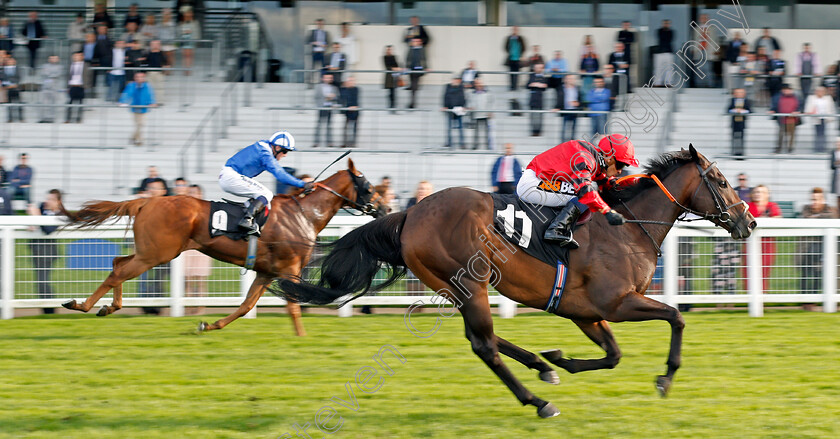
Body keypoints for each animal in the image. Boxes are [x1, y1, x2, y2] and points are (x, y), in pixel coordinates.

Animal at [60, 160, 384, 336]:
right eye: (369, 187)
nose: (385, 207)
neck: (304, 213)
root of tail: (146, 201)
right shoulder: (289, 269)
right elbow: (293, 307)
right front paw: (302, 338)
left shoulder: (267, 272)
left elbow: (245, 306)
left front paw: (209, 325)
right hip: (156, 254)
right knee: (119, 272)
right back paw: (82, 305)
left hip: (149, 251)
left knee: (117, 262)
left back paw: (109, 307)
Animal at [274, 146, 756, 418]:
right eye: (721, 180)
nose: (748, 222)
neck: (628, 227)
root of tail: (410, 212)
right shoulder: (616, 304)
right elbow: (675, 317)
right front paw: (666, 379)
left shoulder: (585, 312)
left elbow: (613, 355)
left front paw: (562, 359)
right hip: (469, 281)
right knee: (484, 344)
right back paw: (538, 401)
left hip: (458, 286)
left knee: (482, 337)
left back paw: (542, 367)